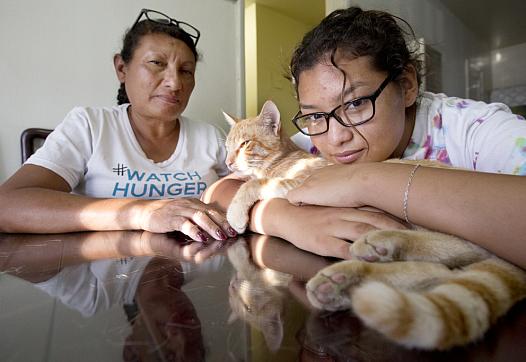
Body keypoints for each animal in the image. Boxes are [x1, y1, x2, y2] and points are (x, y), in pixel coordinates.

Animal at [224, 100, 526, 350]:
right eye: (227, 147)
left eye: (245, 144)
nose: (227, 162)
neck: (283, 160)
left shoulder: (298, 183)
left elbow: (256, 184)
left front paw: (235, 213)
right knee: (439, 269)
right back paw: (344, 283)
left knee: (459, 249)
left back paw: (382, 244)